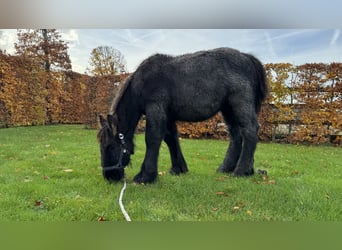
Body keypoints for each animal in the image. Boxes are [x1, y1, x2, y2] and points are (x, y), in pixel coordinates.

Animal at [97, 47, 268, 184]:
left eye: (111, 147)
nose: (109, 176)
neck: (140, 83)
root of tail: (247, 58)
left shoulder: (156, 108)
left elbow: (153, 138)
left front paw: (146, 176)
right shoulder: (168, 115)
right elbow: (171, 139)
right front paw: (178, 168)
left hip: (240, 105)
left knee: (250, 130)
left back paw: (241, 170)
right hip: (228, 109)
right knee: (236, 135)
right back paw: (231, 168)